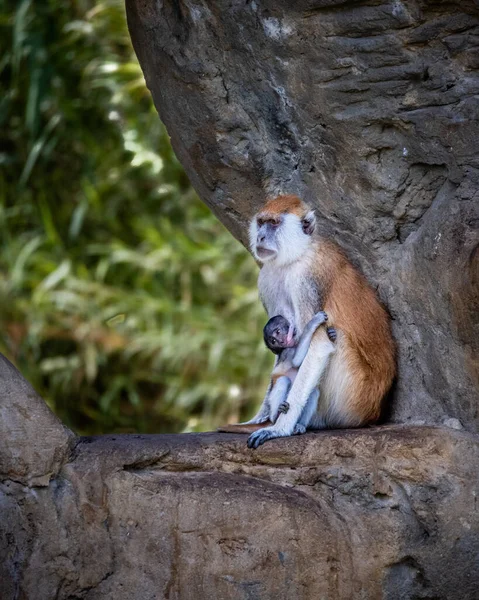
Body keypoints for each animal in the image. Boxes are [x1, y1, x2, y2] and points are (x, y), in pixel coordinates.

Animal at [244, 195, 394, 448]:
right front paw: (261, 416)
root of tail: (373, 413)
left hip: (351, 401)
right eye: (261, 222)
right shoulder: (268, 278)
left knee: (336, 337)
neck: (299, 253)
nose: (260, 237)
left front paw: (279, 428)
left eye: (274, 224)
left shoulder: (305, 279)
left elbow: (320, 345)